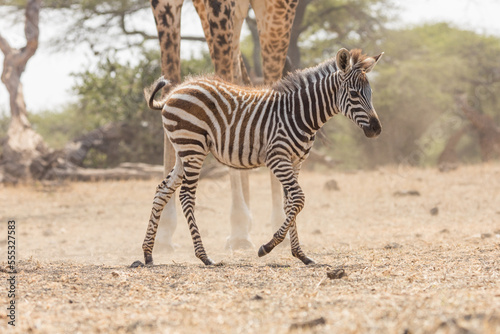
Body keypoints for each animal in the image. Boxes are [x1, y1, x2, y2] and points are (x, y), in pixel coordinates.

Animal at [141, 48, 382, 264]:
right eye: (354, 94)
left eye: (370, 93)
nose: (376, 129)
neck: (300, 113)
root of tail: (173, 93)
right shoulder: (277, 159)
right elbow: (299, 199)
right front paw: (267, 247)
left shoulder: (295, 162)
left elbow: (290, 203)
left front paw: (300, 254)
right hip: (193, 148)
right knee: (186, 196)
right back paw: (204, 256)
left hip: (183, 151)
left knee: (162, 190)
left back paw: (148, 254)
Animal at [148, 0, 296, 253]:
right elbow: (171, 83)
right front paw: (164, 232)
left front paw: (239, 228)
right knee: (237, 76)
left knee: (266, 77)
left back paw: (273, 222)